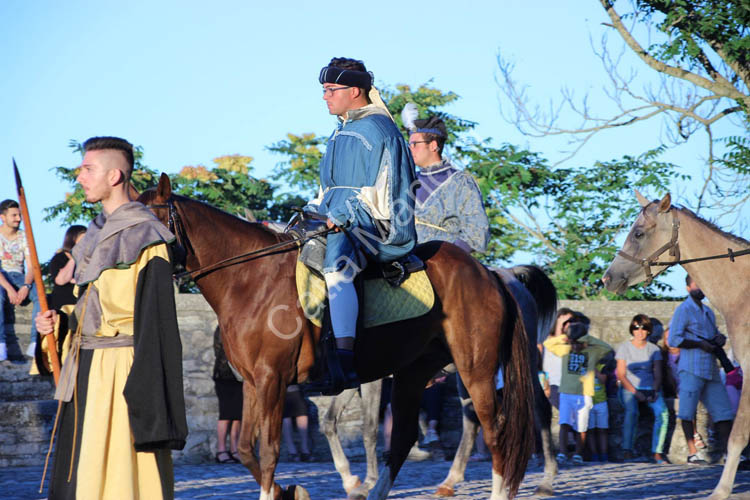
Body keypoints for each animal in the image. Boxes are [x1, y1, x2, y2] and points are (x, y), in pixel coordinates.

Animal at [140, 175, 536, 500]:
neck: (252, 278)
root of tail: (486, 273)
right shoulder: (254, 384)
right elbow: (247, 450)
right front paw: (289, 491)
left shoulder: (272, 380)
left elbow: (268, 451)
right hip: (414, 372)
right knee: (404, 436)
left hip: (476, 371)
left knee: (495, 429)